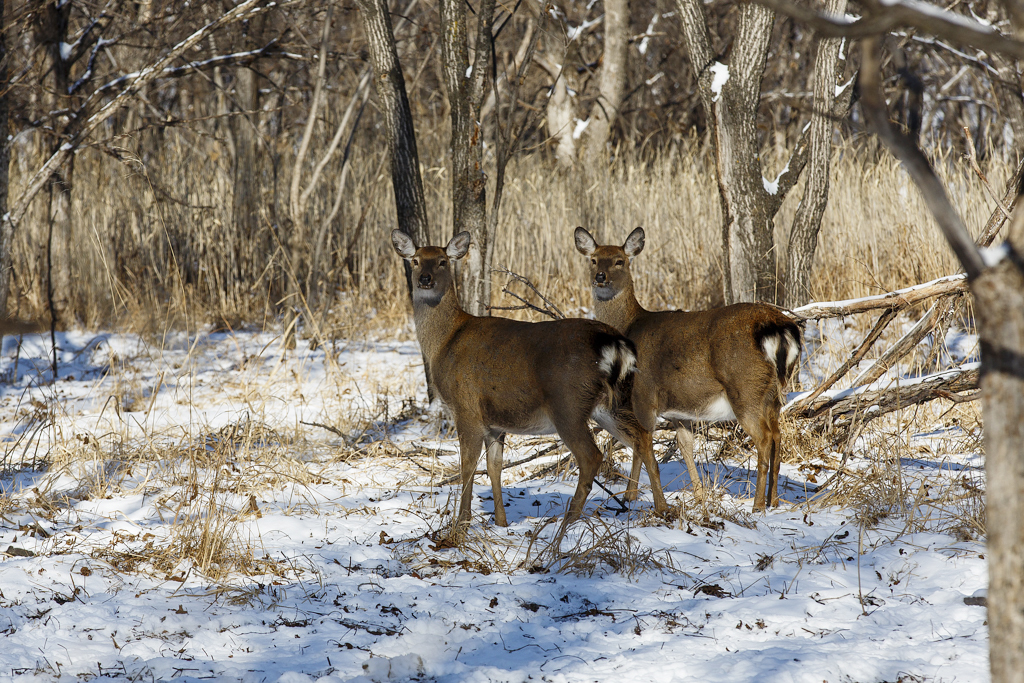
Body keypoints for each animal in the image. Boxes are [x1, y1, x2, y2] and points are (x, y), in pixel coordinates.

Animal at [387, 231, 667, 540]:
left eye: (442, 261)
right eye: (415, 261)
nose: (424, 279)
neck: (445, 342)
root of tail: (613, 342)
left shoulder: (466, 407)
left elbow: (467, 467)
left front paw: (460, 525)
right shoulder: (495, 422)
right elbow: (494, 467)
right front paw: (501, 522)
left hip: (567, 403)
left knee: (592, 456)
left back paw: (567, 522)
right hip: (611, 402)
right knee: (643, 438)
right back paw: (662, 511)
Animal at [577, 227, 798, 509]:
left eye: (619, 261)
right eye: (593, 260)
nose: (600, 277)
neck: (629, 326)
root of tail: (779, 327)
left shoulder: (643, 395)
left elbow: (641, 446)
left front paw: (630, 496)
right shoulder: (680, 412)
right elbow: (685, 446)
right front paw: (699, 495)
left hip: (745, 388)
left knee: (765, 438)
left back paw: (758, 504)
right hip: (773, 393)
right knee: (778, 435)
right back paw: (775, 501)